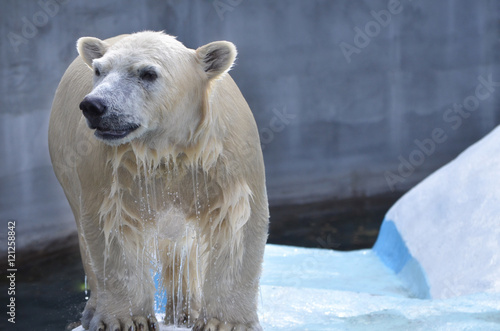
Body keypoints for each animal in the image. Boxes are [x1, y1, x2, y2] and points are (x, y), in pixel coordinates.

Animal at [49, 31, 270, 331]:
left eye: (148, 73)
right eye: (98, 70)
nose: (93, 105)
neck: (166, 148)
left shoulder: (221, 159)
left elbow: (235, 225)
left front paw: (224, 323)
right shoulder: (113, 166)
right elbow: (113, 227)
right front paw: (127, 319)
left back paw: (186, 311)